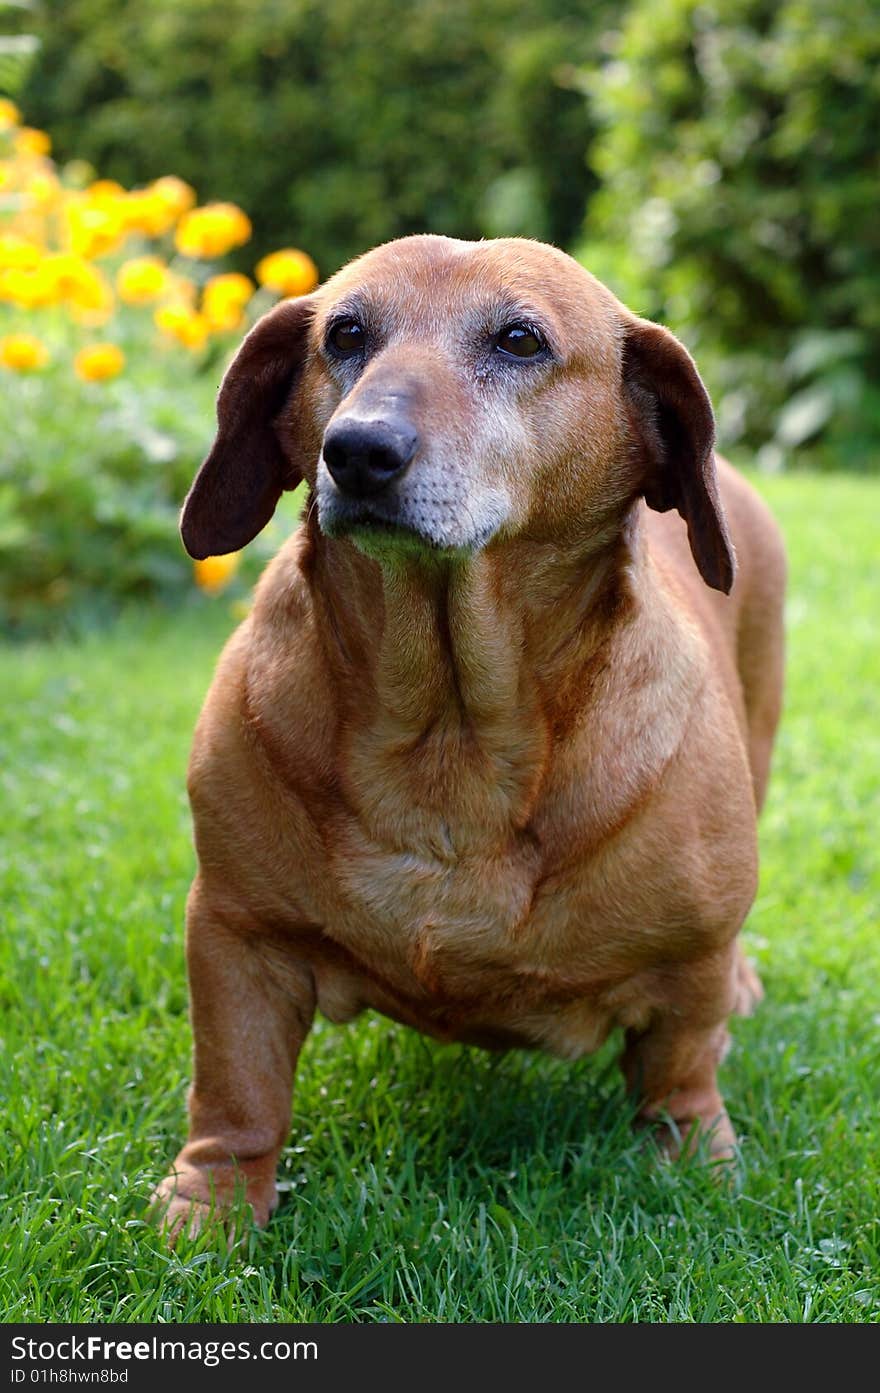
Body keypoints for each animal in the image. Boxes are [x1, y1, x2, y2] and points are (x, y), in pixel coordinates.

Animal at [151, 234, 785, 1236]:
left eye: (520, 339)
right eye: (345, 333)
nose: (357, 450)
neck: (450, 734)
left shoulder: (689, 958)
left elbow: (682, 1070)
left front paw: (695, 1165)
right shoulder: (235, 932)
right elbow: (236, 1090)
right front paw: (211, 1204)